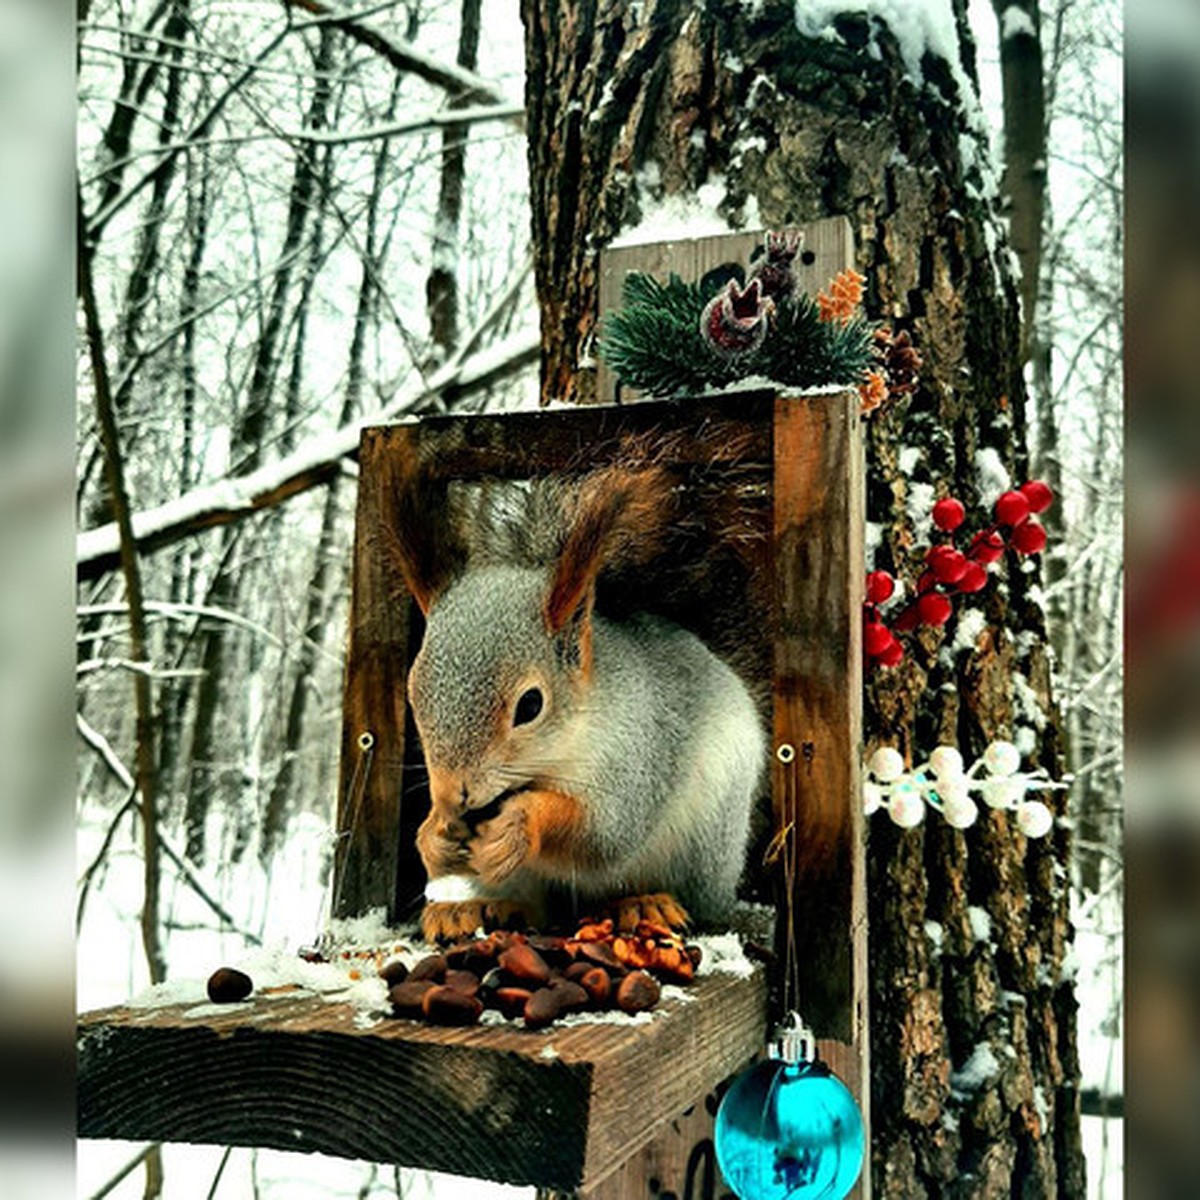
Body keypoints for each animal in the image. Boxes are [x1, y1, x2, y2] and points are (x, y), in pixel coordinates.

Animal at [384, 453, 763, 940]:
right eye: (414, 695)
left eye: (530, 705)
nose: (454, 795)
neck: (553, 757)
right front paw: (434, 836)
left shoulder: (639, 753)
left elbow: (603, 833)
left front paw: (519, 824)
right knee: (536, 909)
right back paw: (474, 910)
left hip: (706, 839)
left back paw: (644, 904)